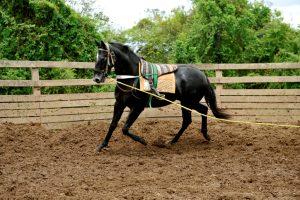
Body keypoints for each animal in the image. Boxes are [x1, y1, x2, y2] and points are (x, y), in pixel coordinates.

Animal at [92, 41, 229, 152]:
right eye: (96, 57)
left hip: (188, 102)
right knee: (195, 115)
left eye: (103, 58)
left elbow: (125, 128)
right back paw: (179, 139)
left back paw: (192, 137)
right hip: (187, 102)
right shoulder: (119, 103)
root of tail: (202, 75)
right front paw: (102, 145)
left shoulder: (137, 107)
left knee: (196, 115)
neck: (133, 77)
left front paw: (143, 141)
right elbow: (113, 124)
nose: (97, 78)